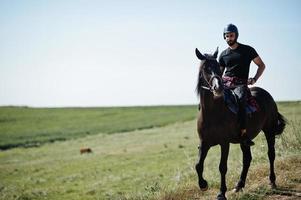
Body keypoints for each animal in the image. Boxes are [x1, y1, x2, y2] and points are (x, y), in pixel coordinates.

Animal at [193, 47, 284, 199]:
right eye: (205, 68)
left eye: (217, 67)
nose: (218, 87)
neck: (213, 112)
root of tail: (267, 95)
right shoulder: (204, 143)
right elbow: (198, 165)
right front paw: (203, 185)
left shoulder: (224, 143)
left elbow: (222, 167)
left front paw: (221, 193)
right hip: (244, 140)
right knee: (247, 159)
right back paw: (239, 185)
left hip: (269, 131)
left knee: (271, 154)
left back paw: (272, 181)